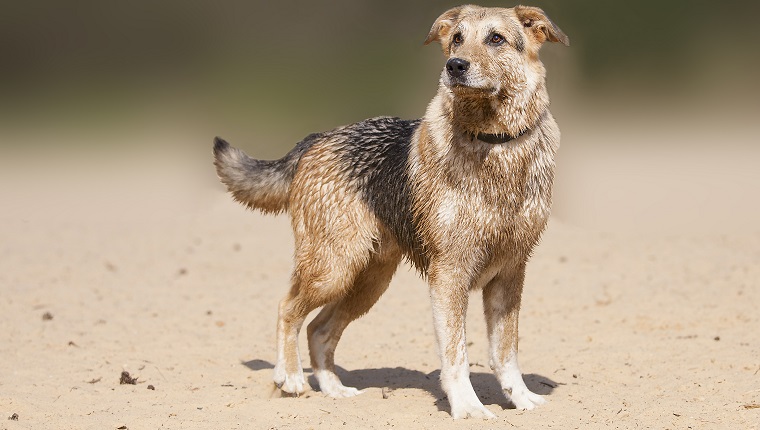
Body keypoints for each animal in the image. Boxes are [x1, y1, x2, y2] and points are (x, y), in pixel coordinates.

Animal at [211, 5, 568, 418]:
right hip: (333, 268)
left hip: (369, 280)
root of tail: (317, 139)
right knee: (288, 309)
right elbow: (456, 356)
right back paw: (291, 378)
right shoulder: (449, 275)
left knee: (319, 330)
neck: (494, 143)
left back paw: (334, 389)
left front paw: (521, 399)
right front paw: (467, 407)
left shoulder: (510, 273)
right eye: (457, 39)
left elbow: (506, 351)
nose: (454, 66)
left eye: (496, 38)